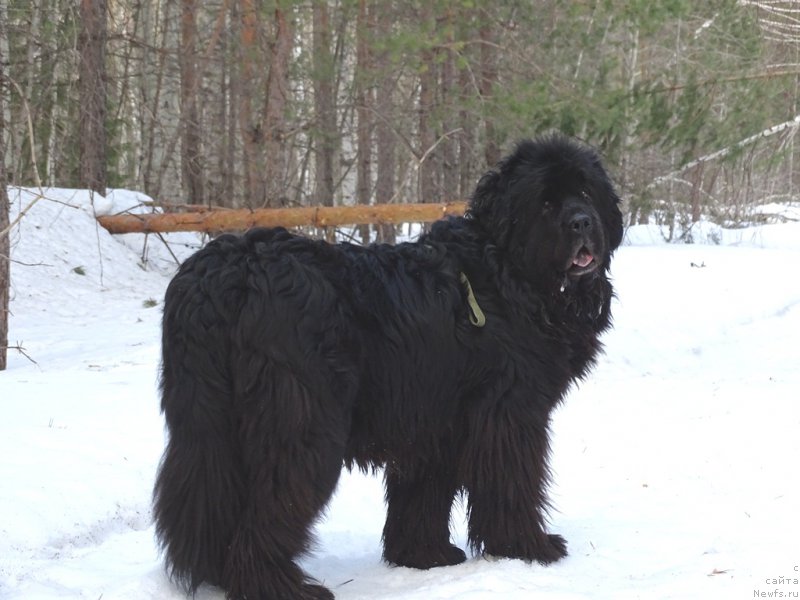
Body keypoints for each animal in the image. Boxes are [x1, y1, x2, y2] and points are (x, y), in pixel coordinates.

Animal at [152, 134, 624, 596]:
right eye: (544, 202)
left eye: (585, 192)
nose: (582, 222)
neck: (506, 273)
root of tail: (230, 273)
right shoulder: (509, 413)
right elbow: (512, 484)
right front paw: (528, 548)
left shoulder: (433, 417)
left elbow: (422, 494)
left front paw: (424, 556)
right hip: (303, 425)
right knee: (270, 503)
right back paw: (277, 586)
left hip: (205, 417)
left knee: (203, 493)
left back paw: (216, 572)